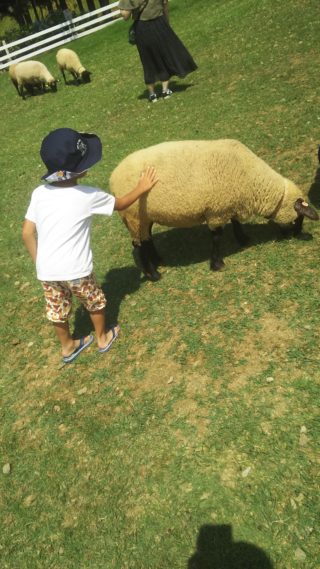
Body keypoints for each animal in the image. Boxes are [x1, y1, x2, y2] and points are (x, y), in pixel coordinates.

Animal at [109, 138, 318, 280]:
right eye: (299, 218)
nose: (296, 234)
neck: (252, 180)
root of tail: (113, 177)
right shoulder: (216, 211)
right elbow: (217, 236)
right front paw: (217, 264)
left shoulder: (229, 204)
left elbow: (235, 221)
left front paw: (243, 239)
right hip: (134, 215)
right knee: (138, 244)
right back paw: (153, 274)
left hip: (144, 216)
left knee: (147, 238)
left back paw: (158, 259)